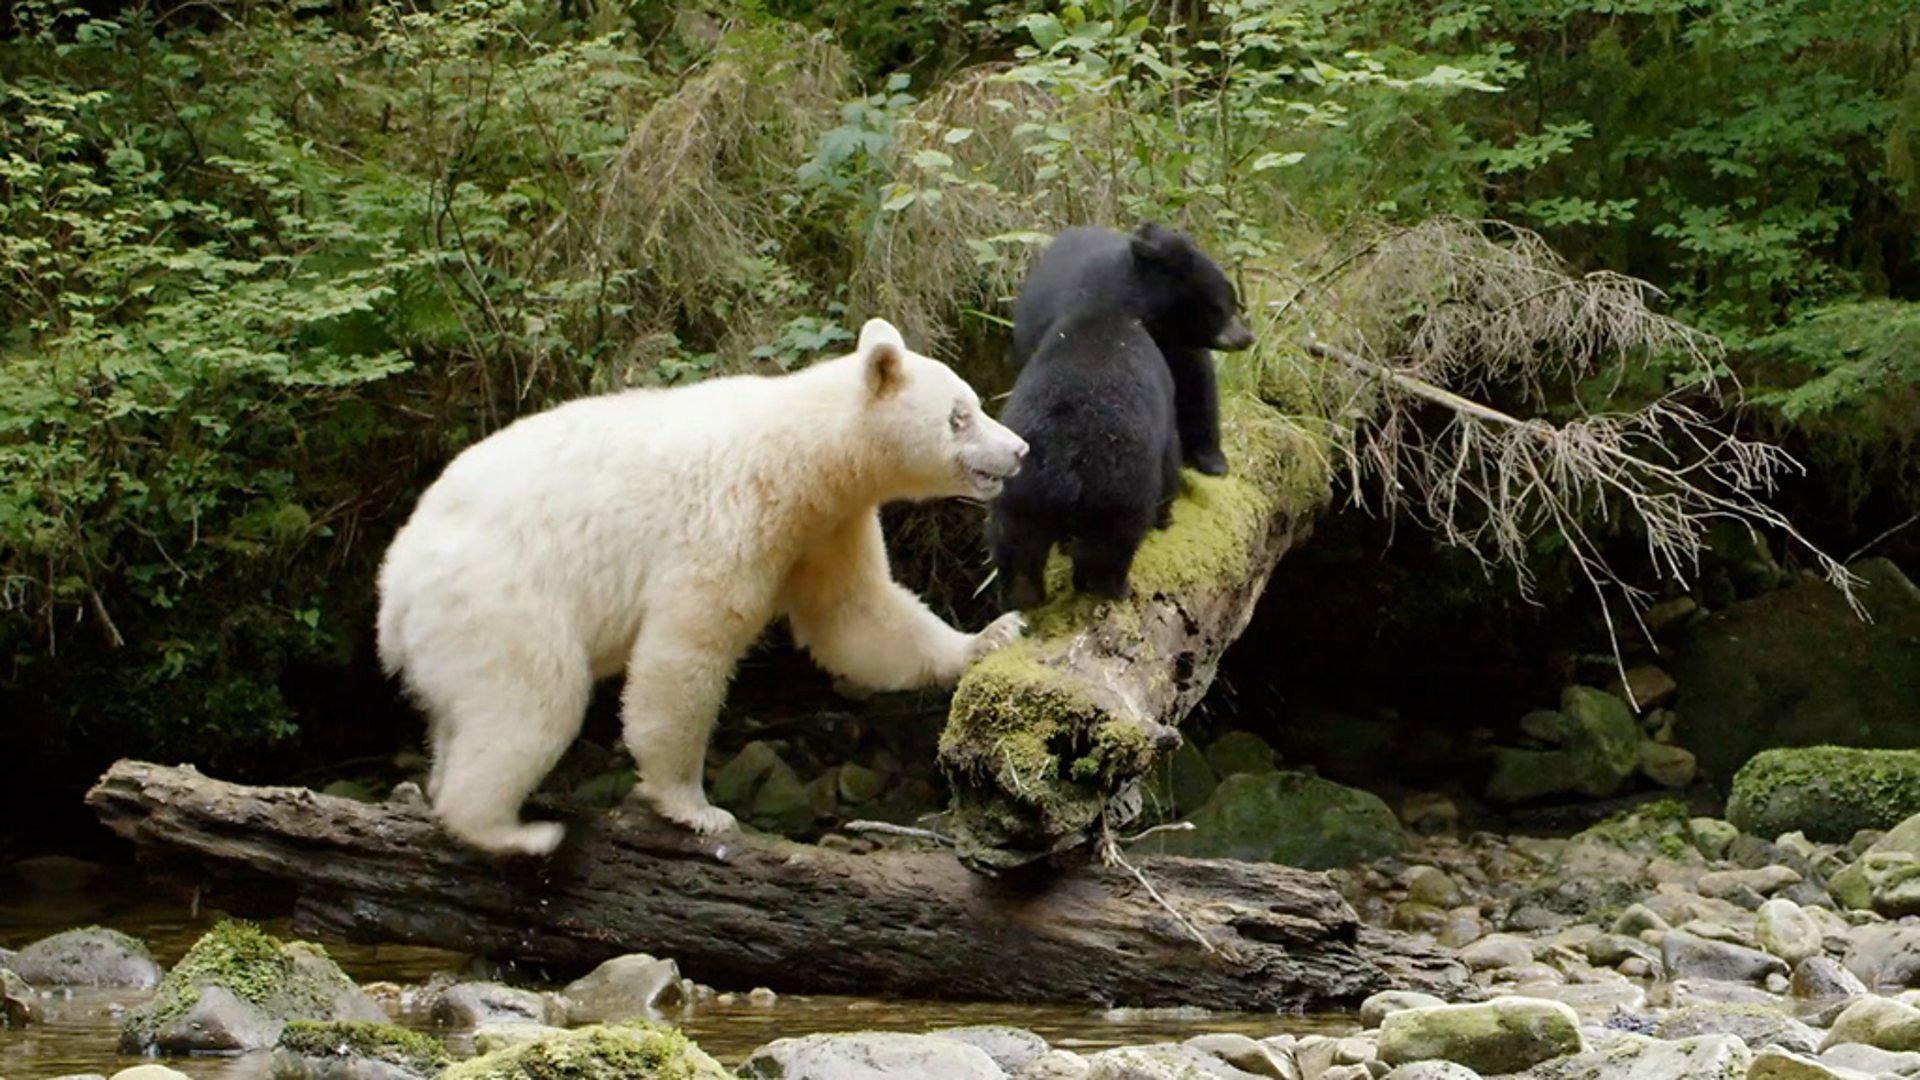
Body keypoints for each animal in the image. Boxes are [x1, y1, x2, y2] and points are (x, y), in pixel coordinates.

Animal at [376, 319, 1029, 856]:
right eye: (960, 414)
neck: (804, 455)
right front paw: (697, 809)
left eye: (972, 401)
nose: (1019, 449)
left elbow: (854, 615)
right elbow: (685, 653)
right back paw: (511, 830)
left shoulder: (826, 527)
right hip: (501, 599)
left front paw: (993, 633)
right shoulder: (732, 518)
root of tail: (393, 593)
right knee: (534, 701)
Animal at [987, 306, 1181, 608]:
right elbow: (1171, 461)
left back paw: (1023, 599)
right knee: (1111, 546)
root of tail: (1060, 455)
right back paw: (1113, 587)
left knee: (1017, 550)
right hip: (1116, 490)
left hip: (1018, 496)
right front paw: (1166, 519)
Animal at [1009, 222, 1253, 477]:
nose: (1246, 338)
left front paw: (1212, 459)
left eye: (1232, 301)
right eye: (1222, 308)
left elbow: (1197, 385)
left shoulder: (1180, 345)